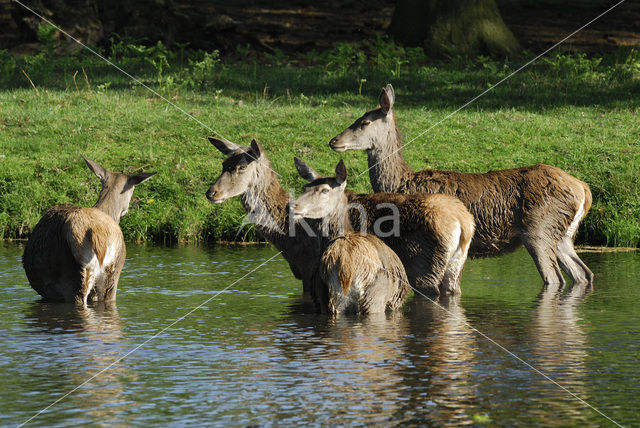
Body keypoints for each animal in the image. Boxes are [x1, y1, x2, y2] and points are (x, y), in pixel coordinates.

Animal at [296, 155, 476, 296]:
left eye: (325, 190)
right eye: (304, 187)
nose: (293, 205)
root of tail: (463, 222)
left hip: (425, 269)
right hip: (456, 264)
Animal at [330, 83, 596, 288]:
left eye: (364, 122)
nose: (334, 141)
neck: (400, 183)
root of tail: (585, 190)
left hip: (539, 229)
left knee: (555, 278)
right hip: (563, 235)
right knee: (584, 273)